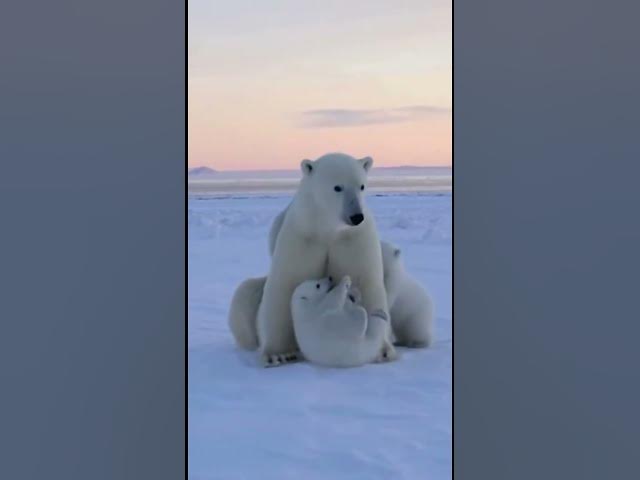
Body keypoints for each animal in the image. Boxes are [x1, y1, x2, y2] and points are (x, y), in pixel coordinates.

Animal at [255, 152, 395, 367]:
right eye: (338, 187)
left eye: (361, 186)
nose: (356, 216)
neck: (329, 230)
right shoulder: (304, 236)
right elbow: (285, 284)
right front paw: (277, 354)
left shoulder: (353, 239)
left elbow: (365, 280)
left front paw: (382, 350)